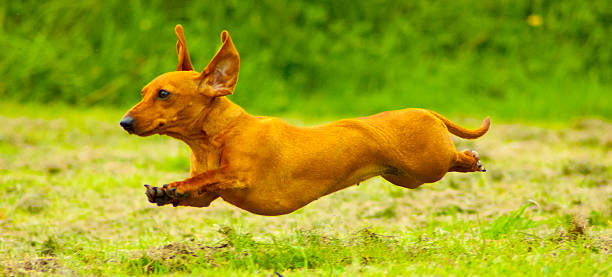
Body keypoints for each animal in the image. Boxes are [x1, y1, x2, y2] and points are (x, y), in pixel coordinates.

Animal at [119, 24, 490, 215]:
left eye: (163, 94)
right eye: (143, 91)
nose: (125, 122)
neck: (218, 135)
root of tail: (426, 111)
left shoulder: (239, 174)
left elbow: (208, 176)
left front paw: (177, 184)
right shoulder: (208, 197)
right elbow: (198, 186)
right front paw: (166, 191)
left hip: (427, 165)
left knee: (454, 158)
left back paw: (470, 158)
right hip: (404, 177)